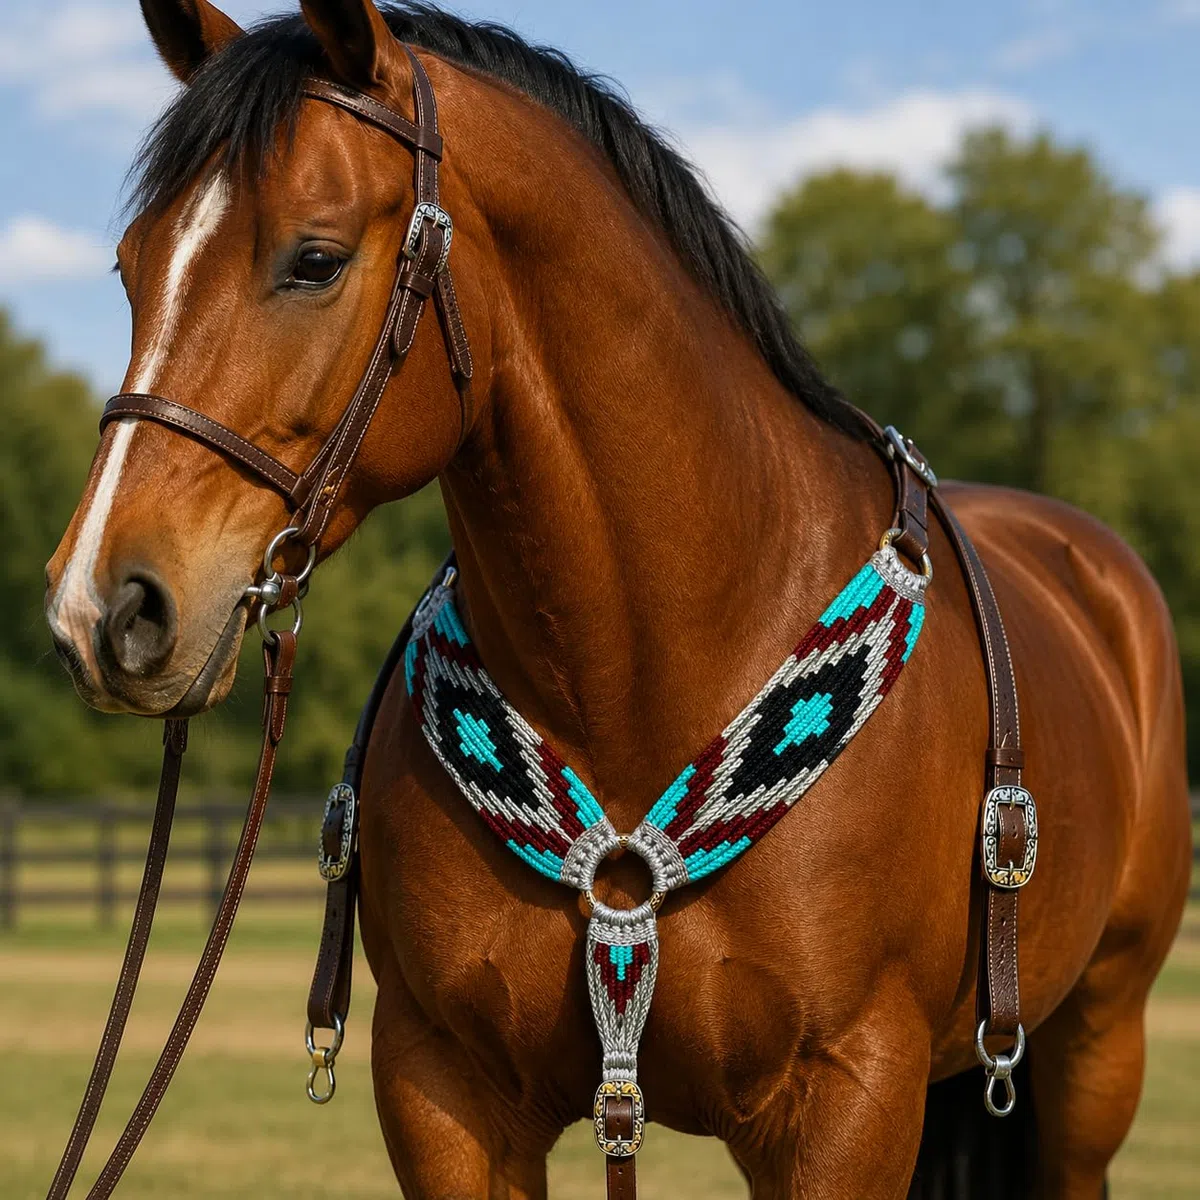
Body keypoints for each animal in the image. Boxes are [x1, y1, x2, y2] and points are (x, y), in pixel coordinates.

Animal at [44, 2, 1191, 1196]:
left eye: (314, 260)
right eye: (130, 268)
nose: (103, 607)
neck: (650, 672)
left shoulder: (851, 1099)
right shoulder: (441, 1087)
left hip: (1094, 1049)